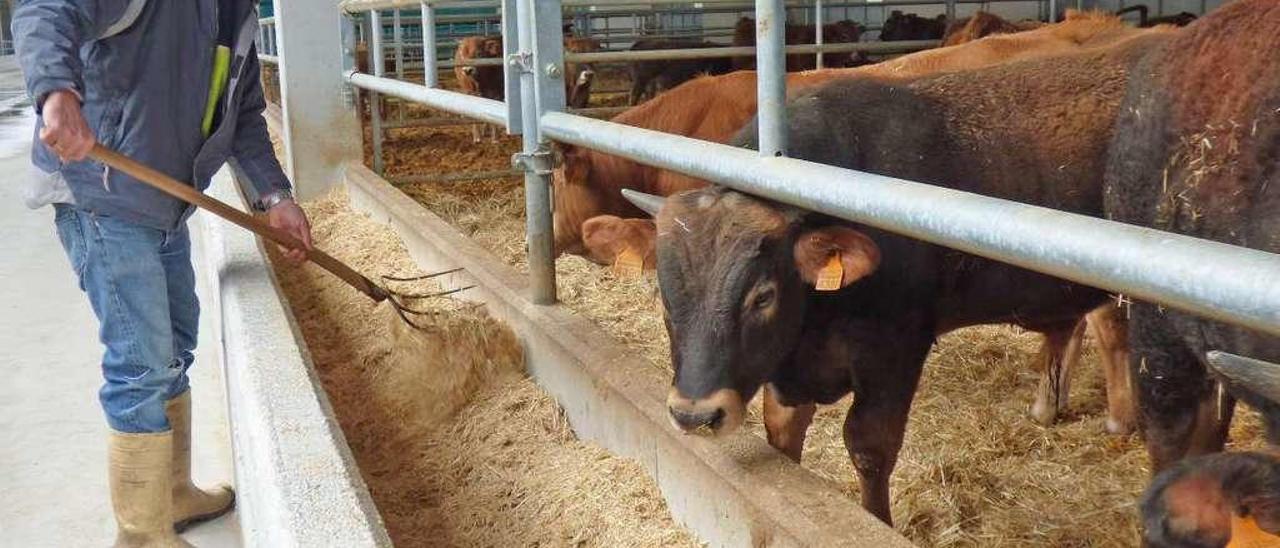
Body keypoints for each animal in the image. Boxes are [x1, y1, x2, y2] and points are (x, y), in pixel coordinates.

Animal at [640, 33, 1172, 522]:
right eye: (666, 299)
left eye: (762, 296)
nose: (694, 413)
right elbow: (783, 434)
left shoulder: (895, 349)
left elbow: (869, 445)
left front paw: (876, 520)